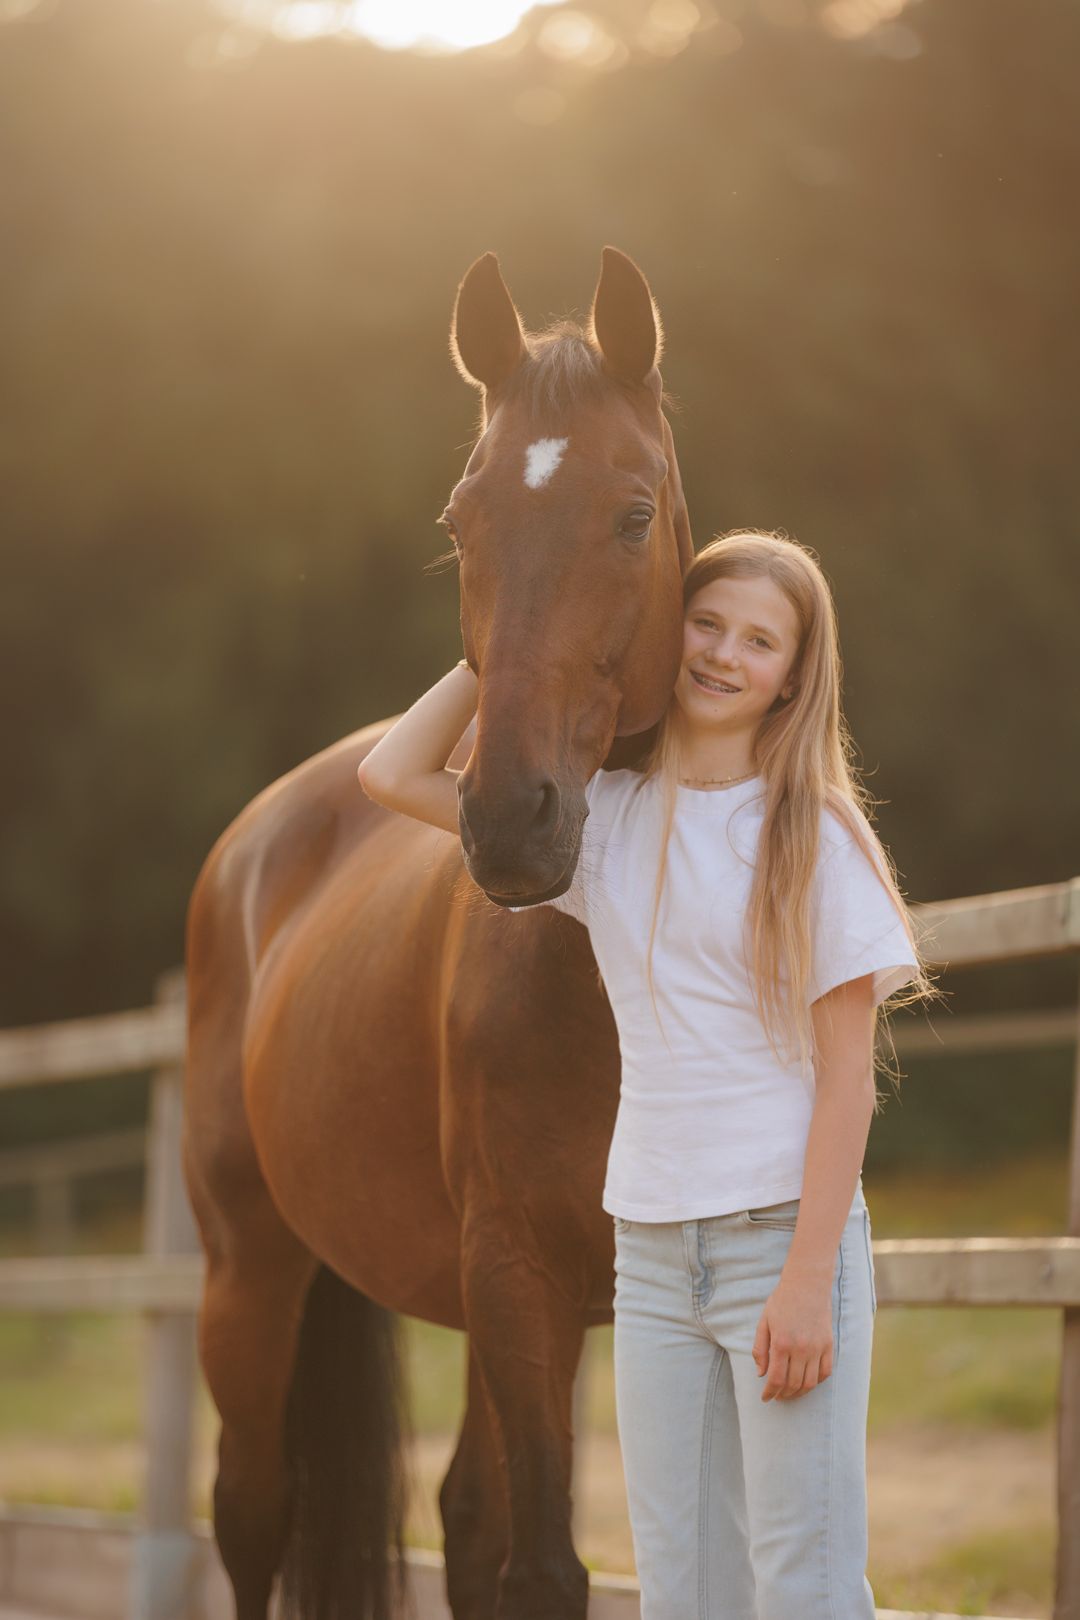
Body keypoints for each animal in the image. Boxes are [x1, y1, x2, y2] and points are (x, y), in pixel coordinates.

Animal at [182, 246, 693, 1620]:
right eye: (461, 525)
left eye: (634, 515)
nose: (511, 819)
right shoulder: (518, 1279)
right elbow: (548, 1568)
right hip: (250, 1275)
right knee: (252, 1514)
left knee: (463, 1516)